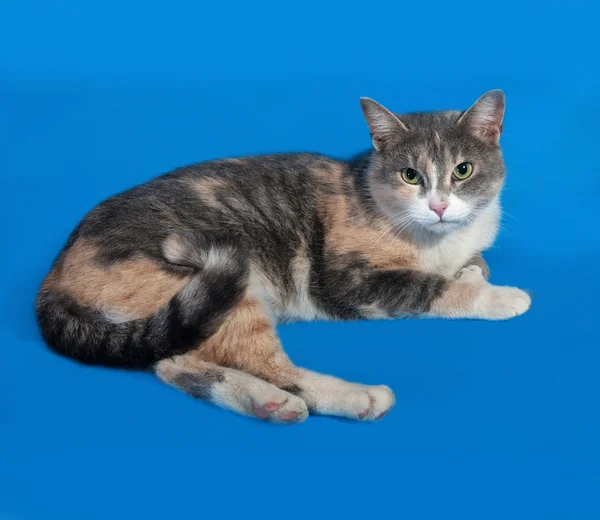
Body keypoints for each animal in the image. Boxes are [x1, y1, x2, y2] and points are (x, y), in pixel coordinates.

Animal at [35, 89, 528, 422]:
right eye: (410, 175)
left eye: (462, 170)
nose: (439, 206)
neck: (435, 242)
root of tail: (52, 278)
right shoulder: (349, 282)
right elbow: (430, 287)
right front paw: (501, 297)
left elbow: (476, 264)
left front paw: (471, 273)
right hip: (226, 287)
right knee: (268, 364)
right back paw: (355, 396)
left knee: (173, 361)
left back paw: (267, 404)